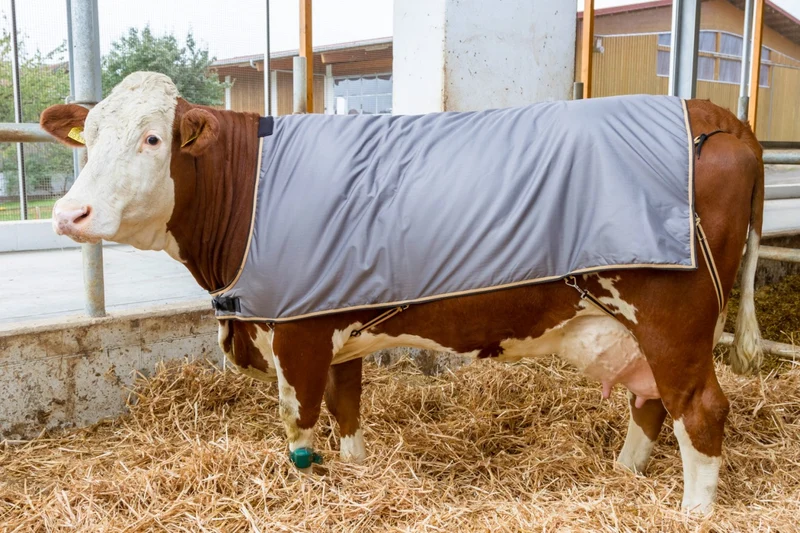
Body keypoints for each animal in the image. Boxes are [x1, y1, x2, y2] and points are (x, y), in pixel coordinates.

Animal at [41, 71, 764, 514]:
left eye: (152, 138)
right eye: (90, 136)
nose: (70, 213)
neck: (254, 189)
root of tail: (715, 113)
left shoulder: (296, 334)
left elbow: (302, 429)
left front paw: (308, 488)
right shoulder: (333, 317)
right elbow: (348, 411)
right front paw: (357, 473)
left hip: (673, 315)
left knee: (700, 408)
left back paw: (692, 512)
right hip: (635, 323)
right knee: (652, 401)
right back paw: (624, 473)